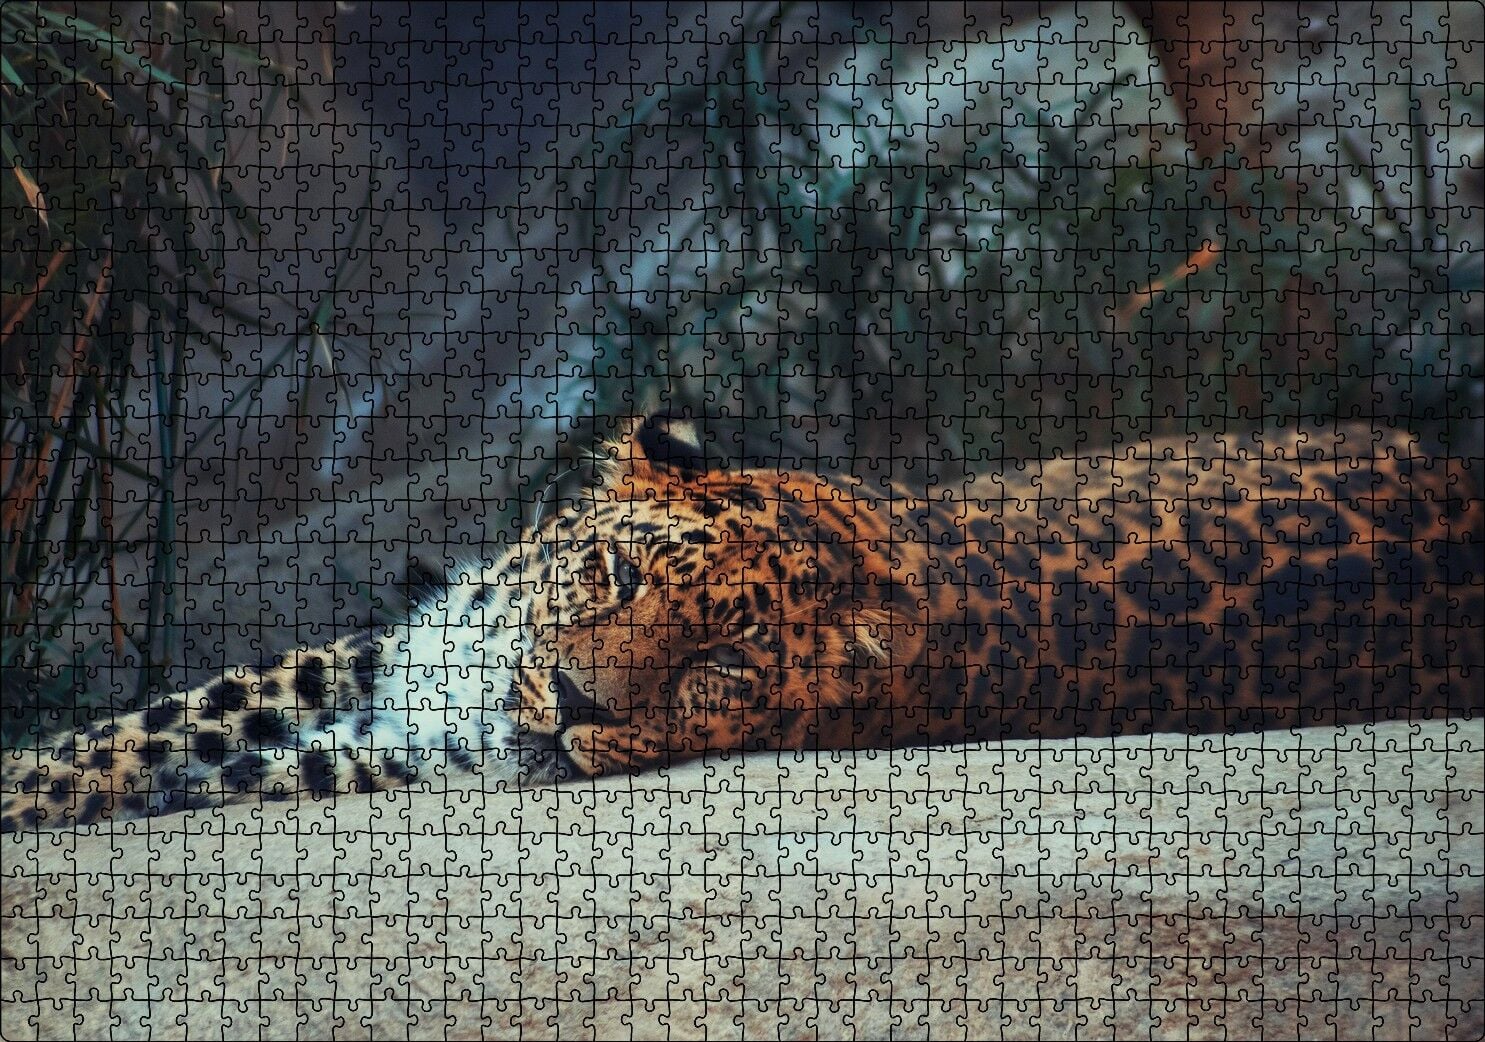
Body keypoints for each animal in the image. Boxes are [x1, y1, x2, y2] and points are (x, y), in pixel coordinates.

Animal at [3, 415, 1482, 831]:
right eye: (609, 582)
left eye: (715, 663)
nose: (575, 704)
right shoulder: (401, 648)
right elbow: (170, 714)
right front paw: (36, 776)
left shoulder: (430, 747)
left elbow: (247, 761)